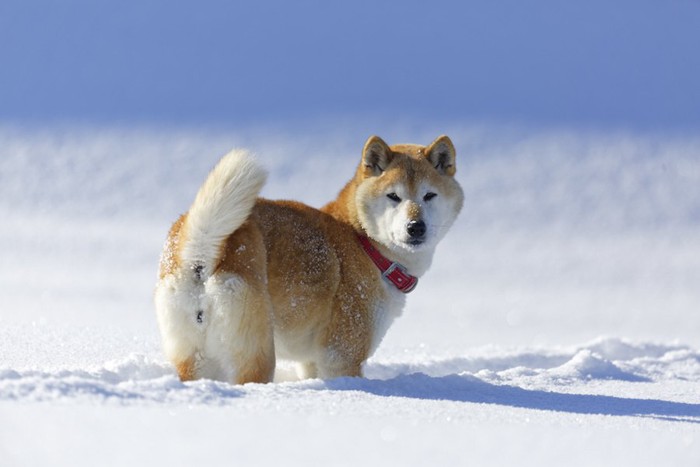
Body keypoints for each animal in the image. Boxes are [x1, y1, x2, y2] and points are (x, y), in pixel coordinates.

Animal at [157, 134, 464, 384]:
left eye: (429, 195)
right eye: (393, 196)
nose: (416, 227)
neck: (364, 242)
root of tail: (200, 253)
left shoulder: (311, 362)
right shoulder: (342, 357)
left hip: (197, 359)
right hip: (258, 353)